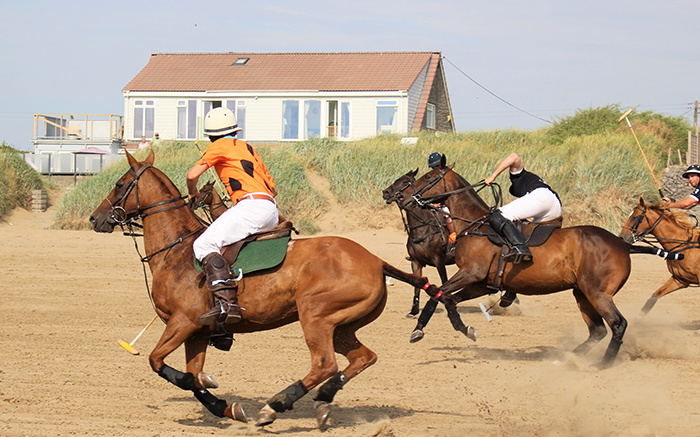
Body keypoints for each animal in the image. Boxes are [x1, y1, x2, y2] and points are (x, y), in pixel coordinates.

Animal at [89, 150, 430, 426]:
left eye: (119, 184)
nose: (95, 218)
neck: (176, 250)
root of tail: (376, 261)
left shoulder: (182, 322)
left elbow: (162, 364)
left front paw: (215, 392)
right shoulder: (197, 332)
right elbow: (194, 376)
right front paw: (224, 407)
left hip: (315, 315)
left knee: (325, 364)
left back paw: (275, 406)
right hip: (343, 325)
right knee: (363, 358)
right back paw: (322, 402)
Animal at [382, 168, 454, 316]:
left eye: (404, 181)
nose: (385, 192)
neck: (422, 228)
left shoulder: (439, 260)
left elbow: (444, 282)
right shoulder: (415, 262)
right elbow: (417, 285)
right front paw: (414, 311)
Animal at [396, 165, 652, 366]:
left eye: (428, 177)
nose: (404, 198)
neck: (474, 225)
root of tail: (622, 244)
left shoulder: (471, 272)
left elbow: (437, 294)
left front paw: (418, 329)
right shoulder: (483, 283)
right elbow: (449, 299)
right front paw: (464, 329)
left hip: (597, 293)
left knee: (618, 324)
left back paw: (603, 364)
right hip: (582, 293)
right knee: (597, 330)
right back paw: (567, 358)